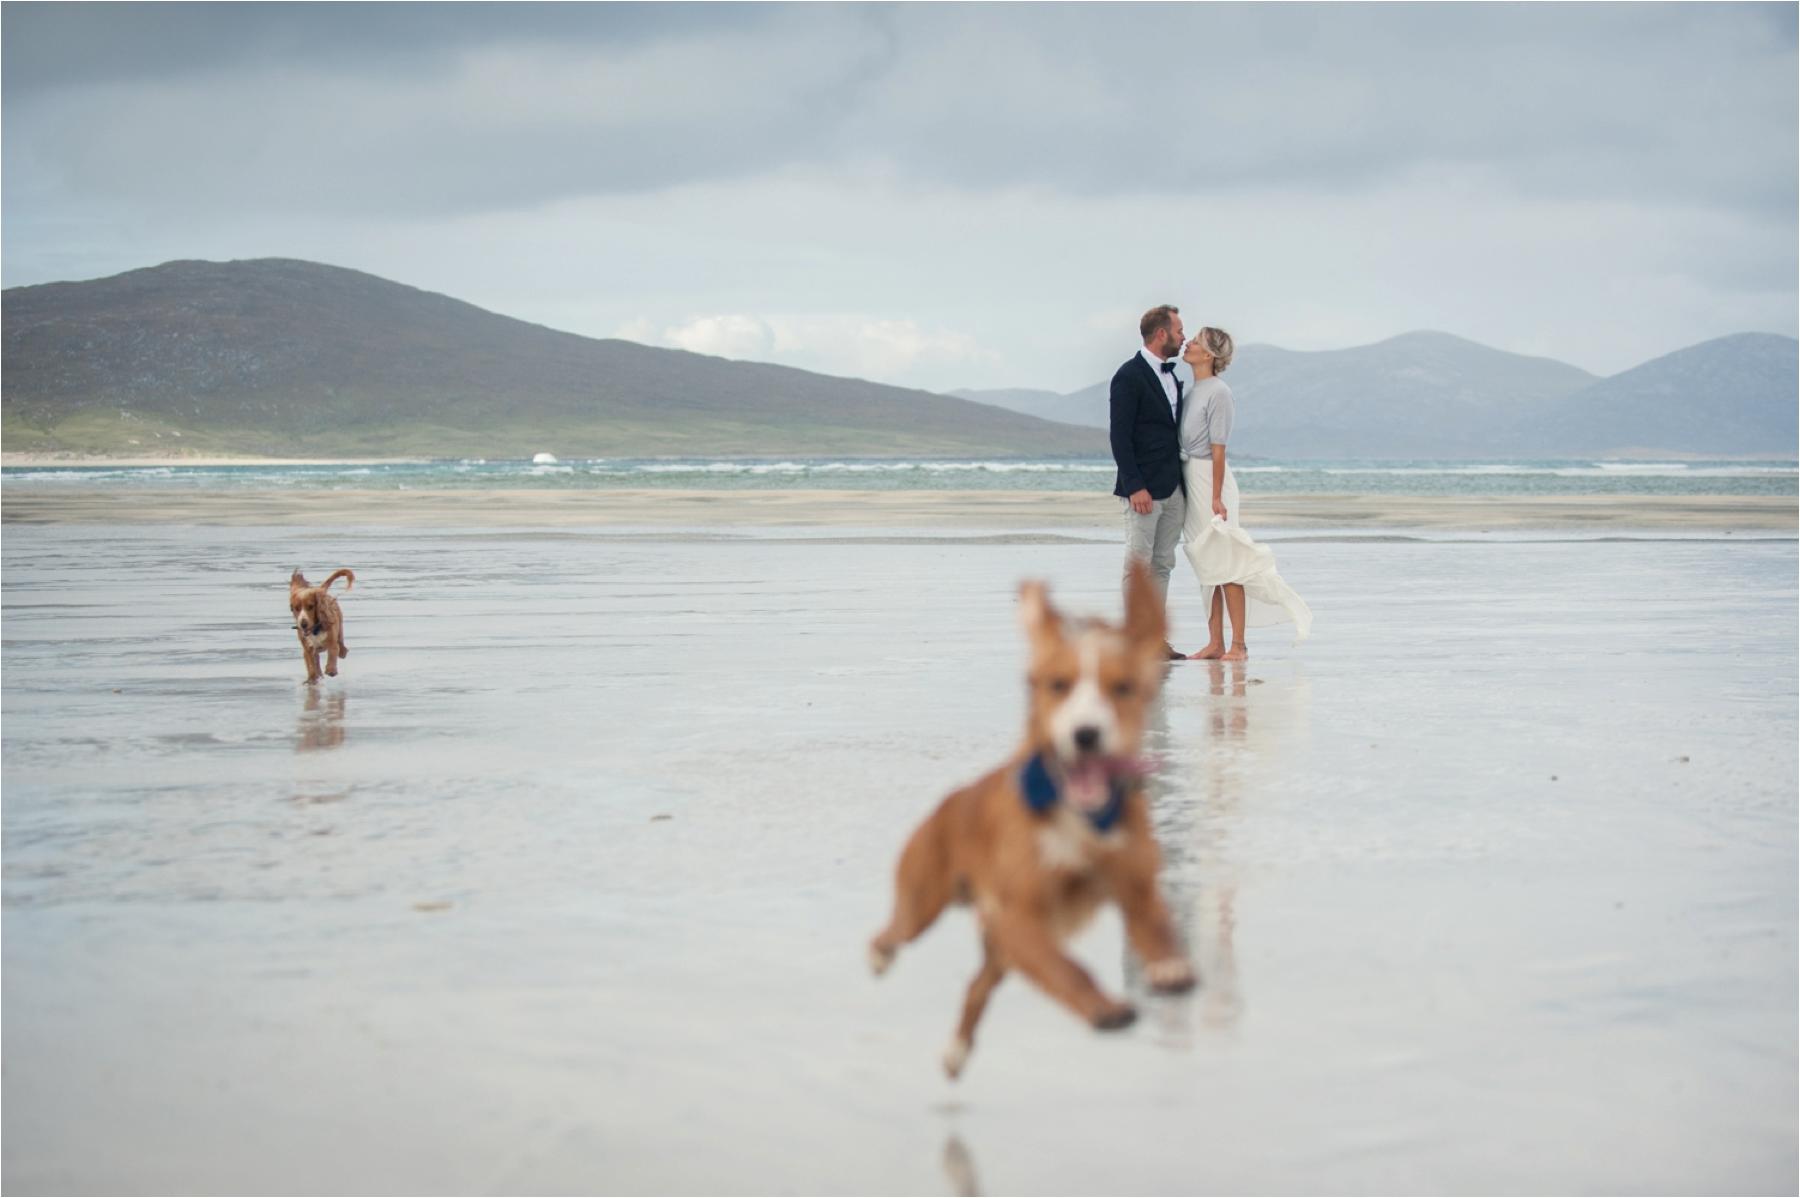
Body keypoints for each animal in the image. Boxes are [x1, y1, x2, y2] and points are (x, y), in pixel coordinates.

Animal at [871, 561, 1195, 1072]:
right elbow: (1068, 969)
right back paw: (882, 958)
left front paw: (1169, 965)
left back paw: (957, 1052)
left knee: (976, 987)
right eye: (1056, 684)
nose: (1086, 734)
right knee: (889, 933)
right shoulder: (1020, 917)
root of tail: (947, 803)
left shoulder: (1136, 887)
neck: (1077, 816)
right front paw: (1104, 1008)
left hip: (1000, 950)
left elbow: (1158, 927)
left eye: (1123, 687)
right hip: (924, 902)